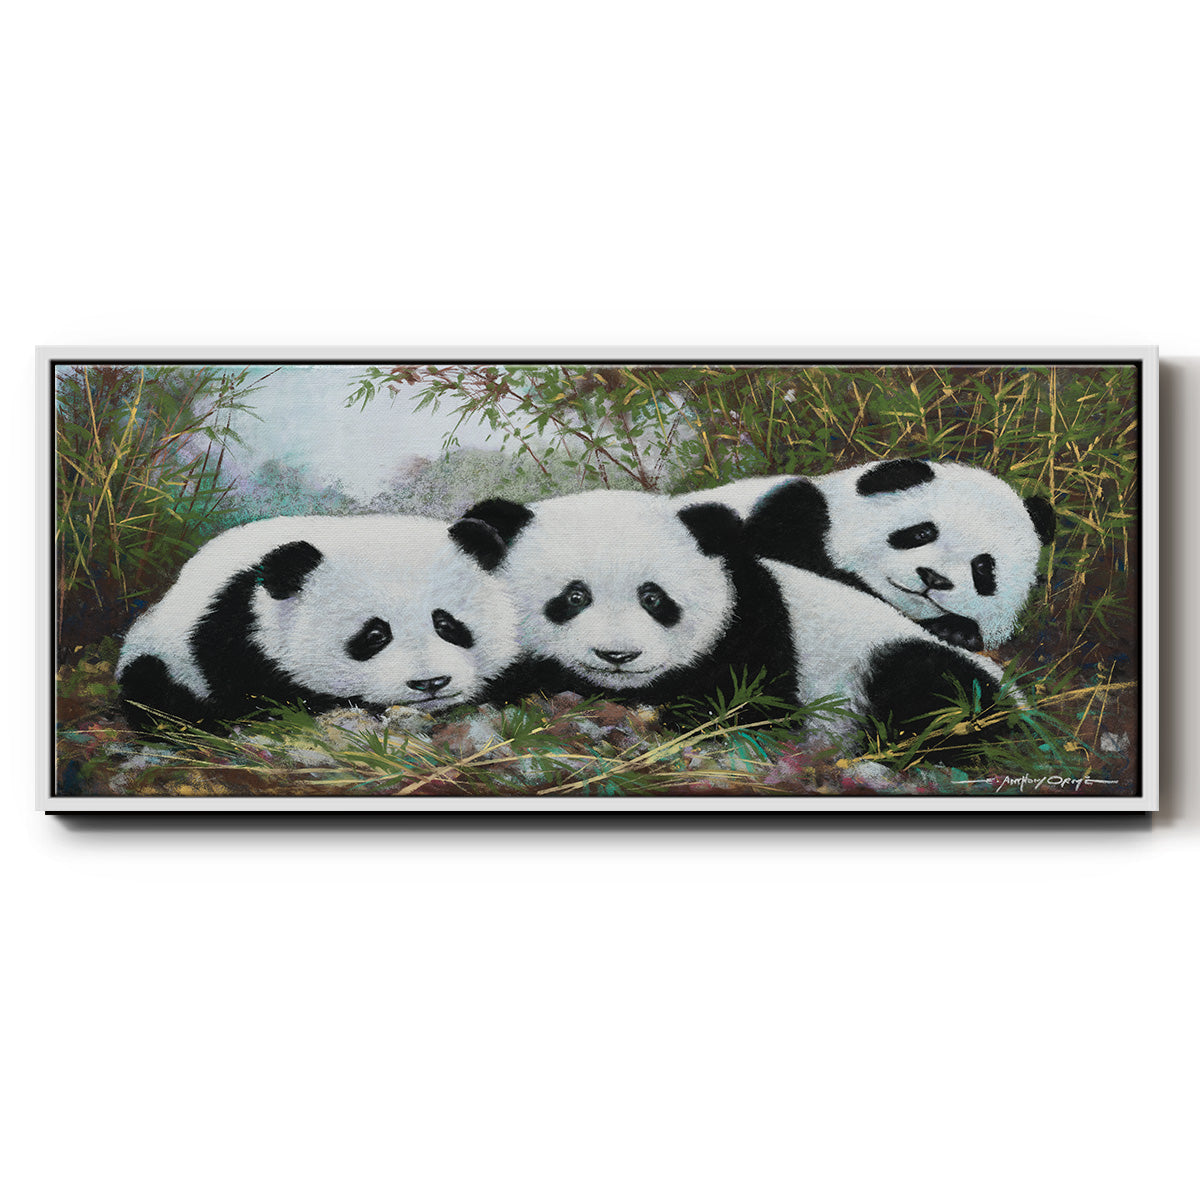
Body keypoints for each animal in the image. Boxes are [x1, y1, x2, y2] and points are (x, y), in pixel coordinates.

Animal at [115, 514, 519, 730]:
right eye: (374, 635)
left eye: (446, 624)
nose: (430, 683)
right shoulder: (232, 636)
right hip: (162, 654)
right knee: (153, 693)